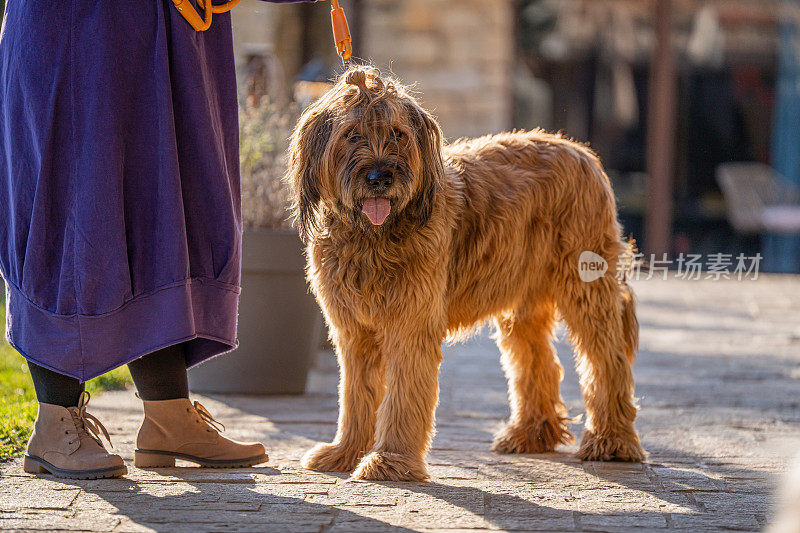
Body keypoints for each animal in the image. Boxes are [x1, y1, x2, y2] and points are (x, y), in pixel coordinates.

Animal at [288, 66, 644, 482]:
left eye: (398, 133)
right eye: (352, 134)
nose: (380, 177)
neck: (373, 237)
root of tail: (582, 151)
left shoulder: (410, 325)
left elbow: (403, 396)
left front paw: (390, 460)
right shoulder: (355, 332)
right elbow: (356, 396)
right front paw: (345, 451)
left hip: (586, 288)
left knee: (606, 360)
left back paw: (611, 441)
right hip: (522, 303)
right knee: (536, 359)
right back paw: (530, 434)